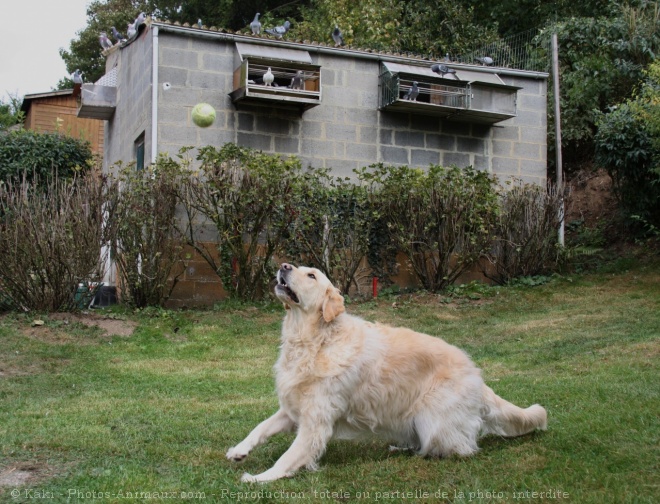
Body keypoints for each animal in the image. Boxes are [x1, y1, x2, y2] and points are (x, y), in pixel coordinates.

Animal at [227, 262, 548, 482]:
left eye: (312, 275)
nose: (283, 265)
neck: (315, 340)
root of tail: (477, 376)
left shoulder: (316, 422)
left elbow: (289, 457)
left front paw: (260, 478)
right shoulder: (293, 409)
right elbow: (259, 428)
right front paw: (239, 451)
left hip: (432, 418)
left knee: (461, 447)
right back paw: (399, 448)